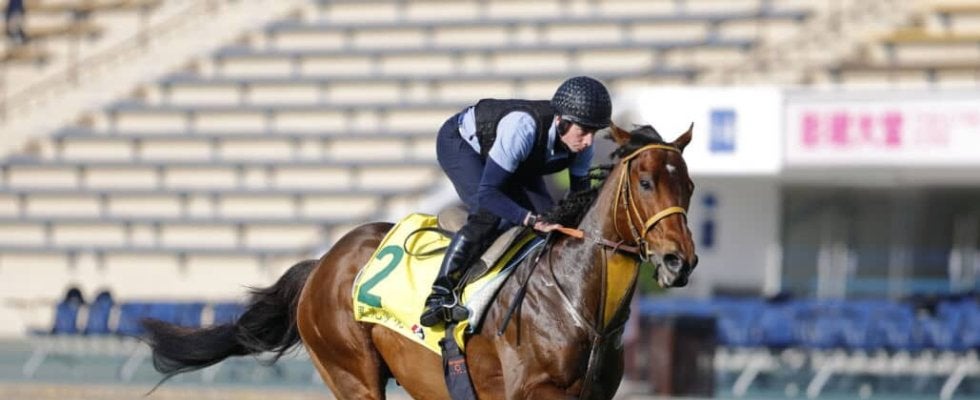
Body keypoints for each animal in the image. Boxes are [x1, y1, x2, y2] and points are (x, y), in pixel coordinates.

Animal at [141, 122, 699, 399]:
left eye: (689, 186)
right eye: (645, 182)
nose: (680, 261)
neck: (576, 303)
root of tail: (323, 263)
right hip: (352, 374)